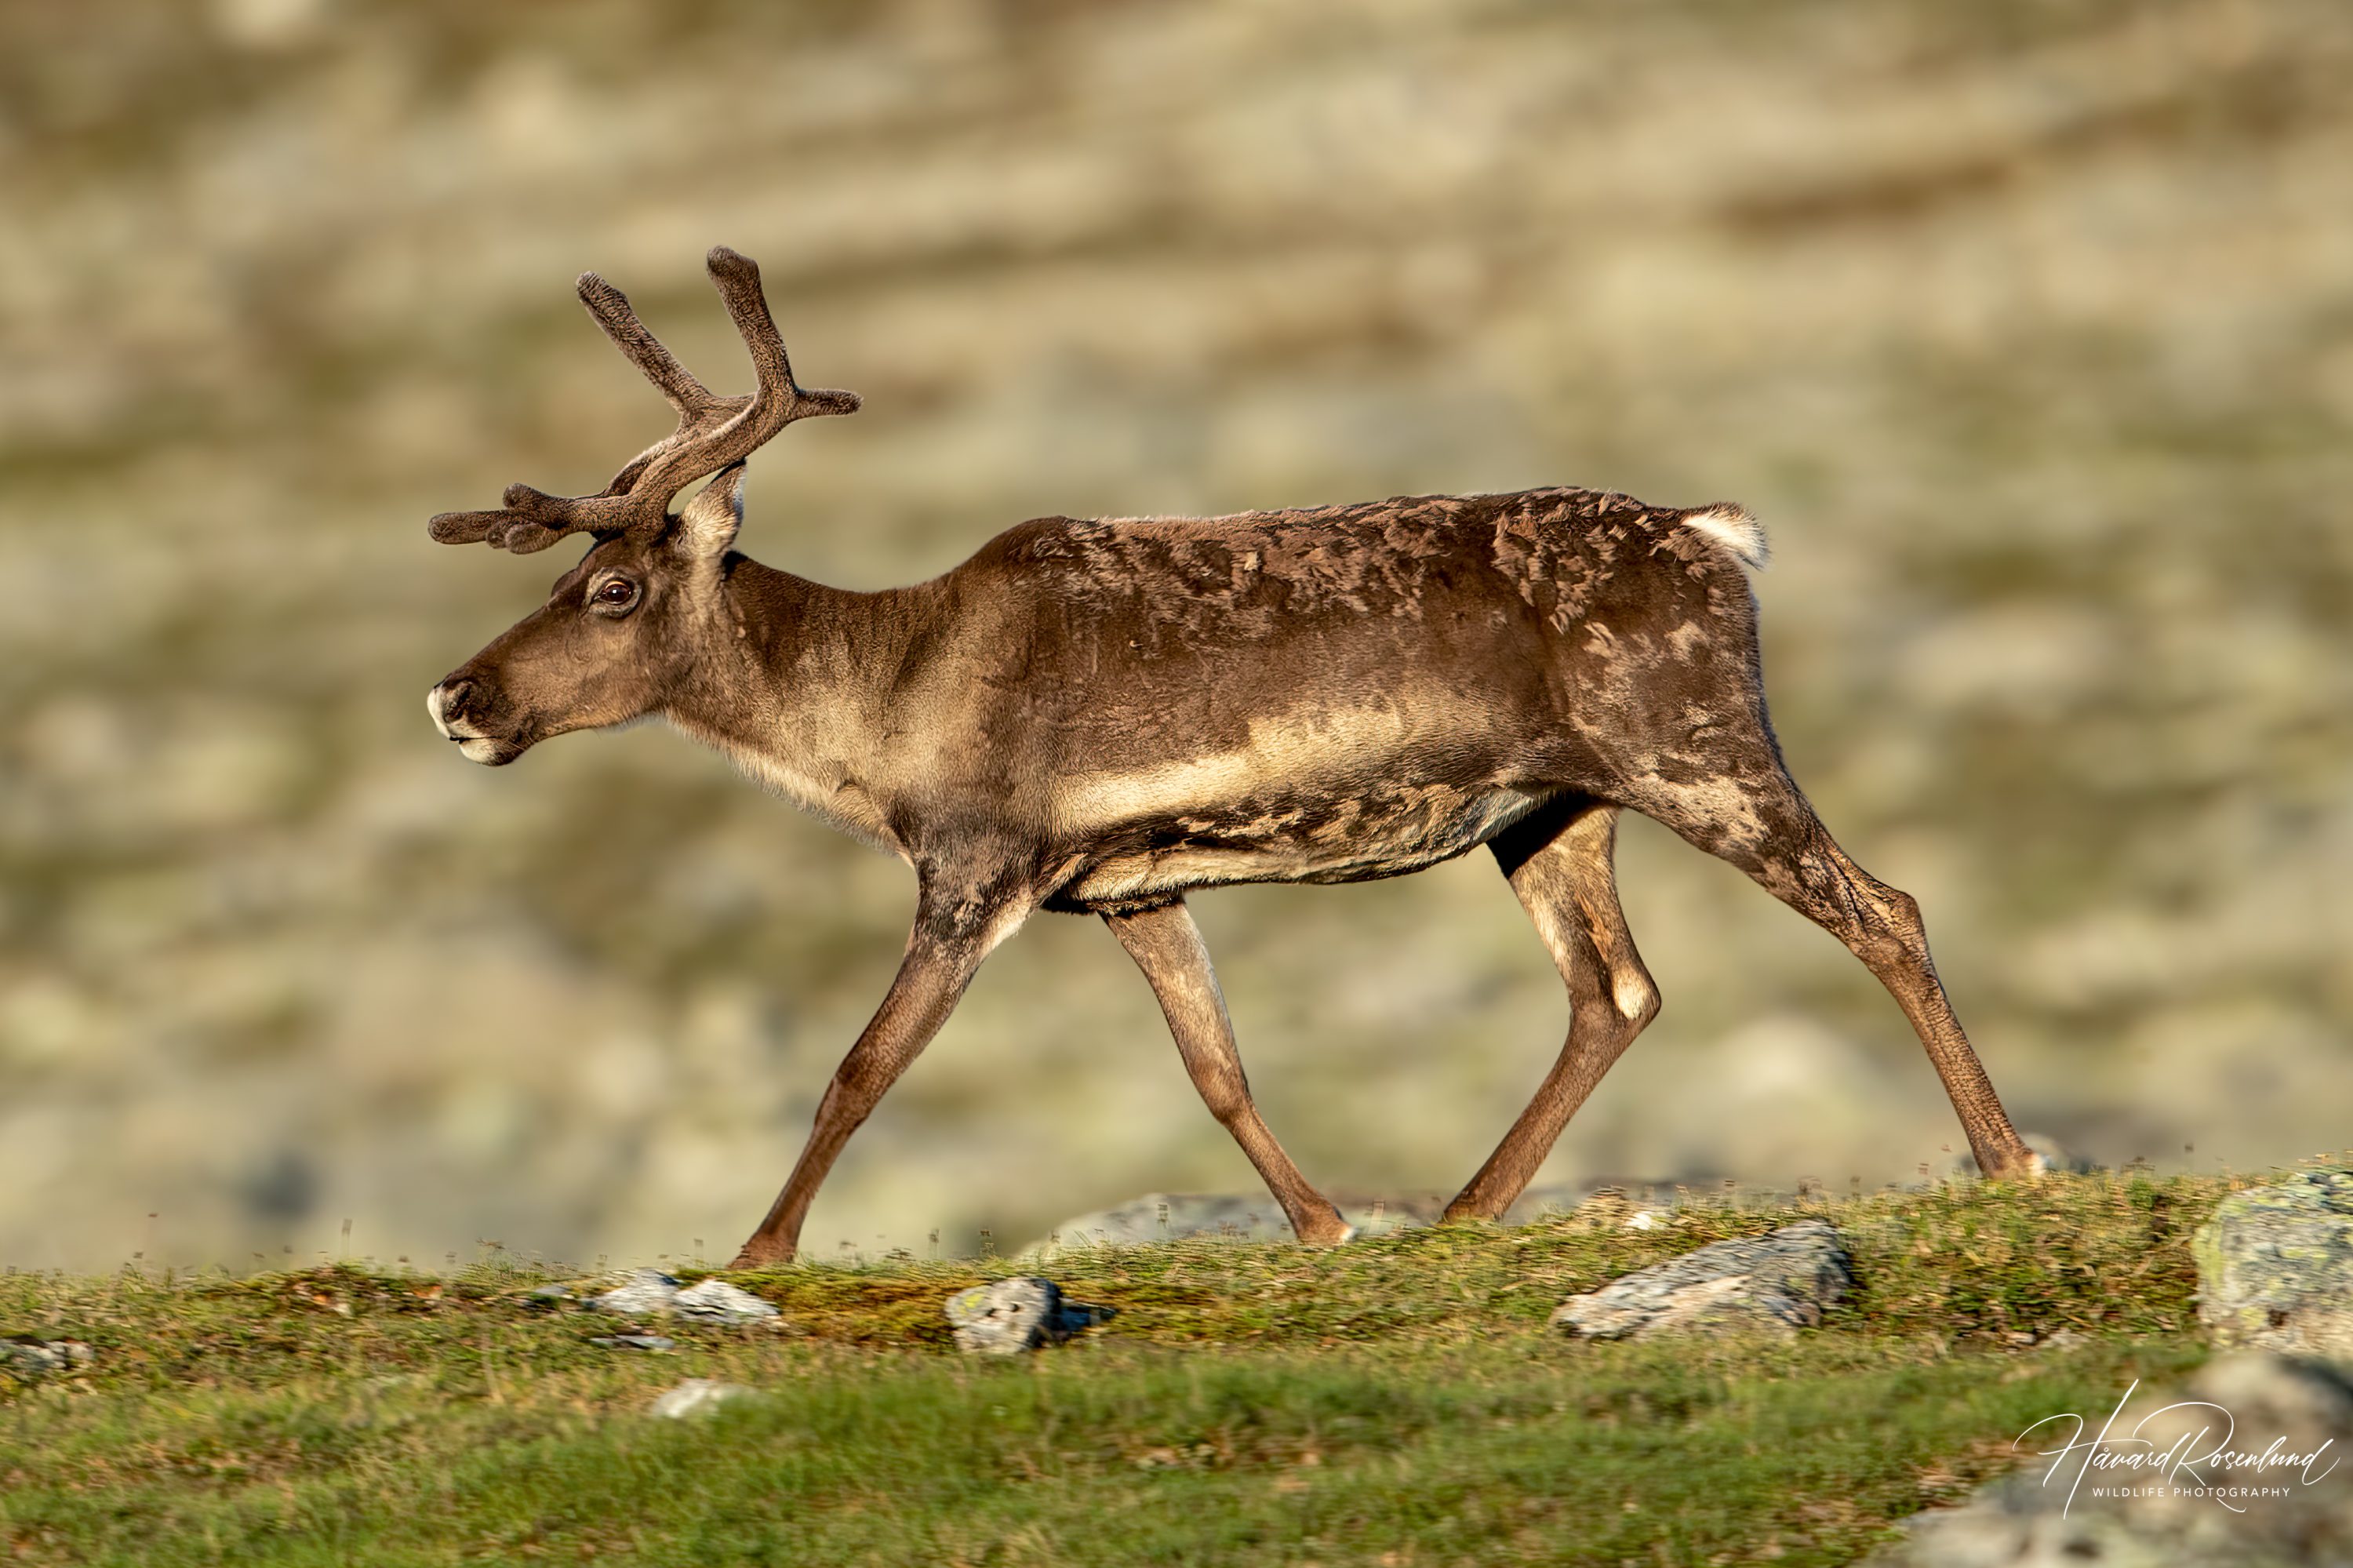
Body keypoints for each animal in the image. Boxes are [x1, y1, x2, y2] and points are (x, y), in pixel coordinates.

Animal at [426, 247, 2042, 1267]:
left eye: (613, 588)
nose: (455, 696)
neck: (880, 703)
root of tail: (1722, 535)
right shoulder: (1132, 887)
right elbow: (1217, 1069)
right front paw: (1323, 1224)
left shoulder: (975, 869)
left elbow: (861, 1063)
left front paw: (763, 1247)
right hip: (1555, 806)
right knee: (1616, 988)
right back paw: (1463, 1209)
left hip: (1697, 748)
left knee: (1880, 908)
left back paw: (2007, 1155)